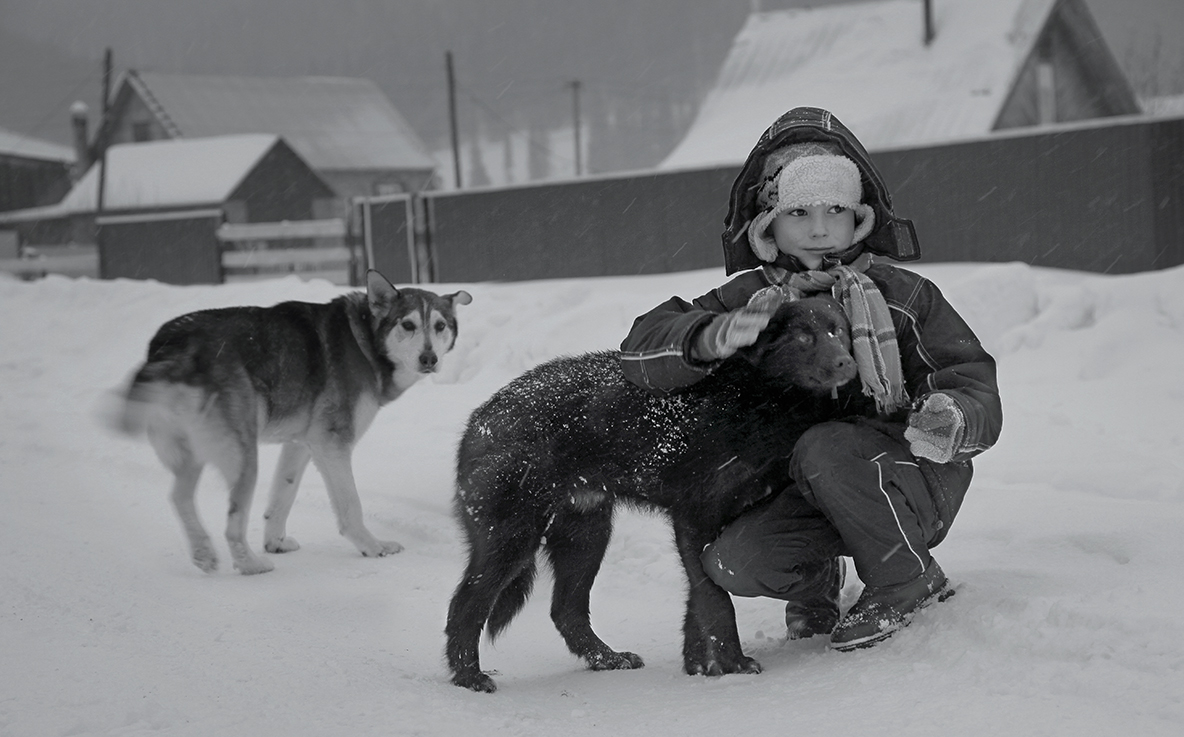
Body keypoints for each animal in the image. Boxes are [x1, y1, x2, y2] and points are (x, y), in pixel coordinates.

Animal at [108, 271, 471, 578]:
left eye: (440, 326)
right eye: (408, 325)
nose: (429, 359)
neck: (365, 339)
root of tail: (173, 343)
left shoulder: (301, 444)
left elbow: (282, 495)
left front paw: (276, 542)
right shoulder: (332, 443)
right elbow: (351, 505)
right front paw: (373, 547)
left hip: (194, 452)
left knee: (179, 498)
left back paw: (204, 553)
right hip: (244, 456)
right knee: (232, 523)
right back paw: (250, 564)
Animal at [445, 295, 861, 691]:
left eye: (838, 331)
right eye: (803, 338)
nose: (847, 363)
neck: (754, 397)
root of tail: (479, 419)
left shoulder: (711, 529)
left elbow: (699, 600)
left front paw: (701, 666)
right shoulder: (694, 520)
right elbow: (716, 600)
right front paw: (733, 664)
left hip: (586, 536)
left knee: (565, 611)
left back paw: (607, 659)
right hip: (513, 539)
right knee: (465, 606)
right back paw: (469, 677)